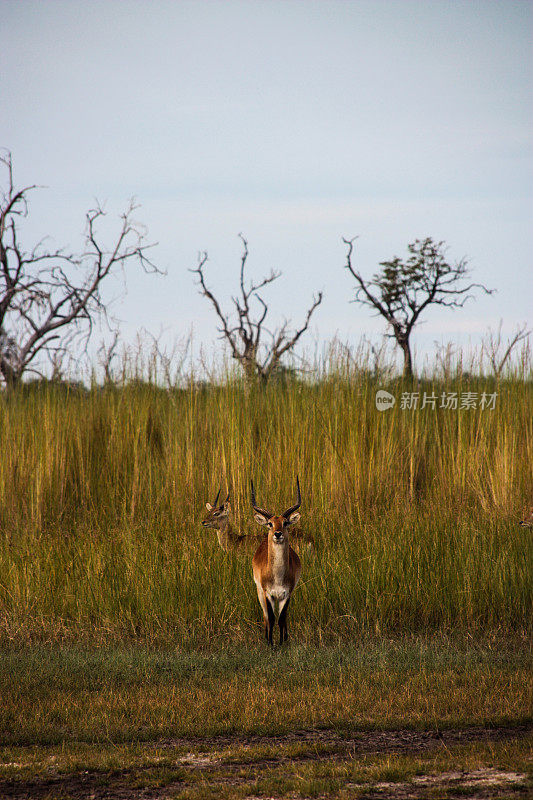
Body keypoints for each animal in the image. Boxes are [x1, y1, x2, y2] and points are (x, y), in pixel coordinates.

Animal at [250, 478, 302, 648]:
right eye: (270, 523)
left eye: (285, 522)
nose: (277, 534)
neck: (278, 576)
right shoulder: (268, 593)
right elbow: (272, 619)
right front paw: (271, 644)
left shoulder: (287, 593)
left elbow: (282, 618)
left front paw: (282, 643)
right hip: (260, 593)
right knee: (266, 617)